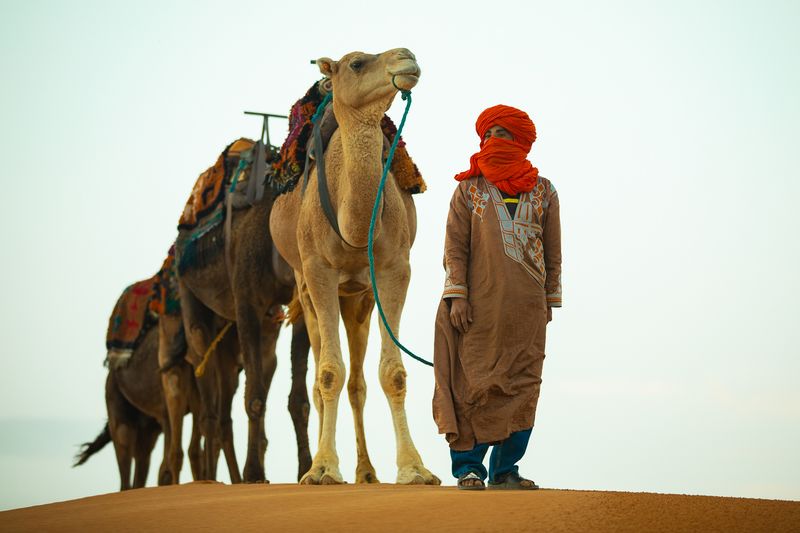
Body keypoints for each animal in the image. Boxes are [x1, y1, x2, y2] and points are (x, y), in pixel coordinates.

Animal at [269, 48, 439, 485]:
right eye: (357, 63)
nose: (407, 57)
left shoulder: (395, 269)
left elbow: (392, 373)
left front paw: (414, 468)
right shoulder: (318, 272)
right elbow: (329, 372)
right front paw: (323, 469)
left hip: (359, 298)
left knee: (358, 383)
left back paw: (366, 472)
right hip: (307, 289)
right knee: (320, 377)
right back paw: (319, 466)